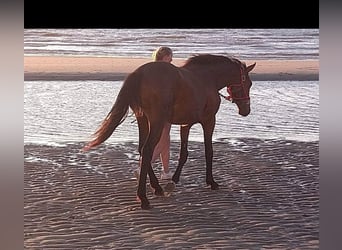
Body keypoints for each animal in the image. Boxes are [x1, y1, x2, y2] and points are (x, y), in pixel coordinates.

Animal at [82, 54, 254, 209]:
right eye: (249, 83)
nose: (246, 110)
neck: (207, 79)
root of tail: (139, 73)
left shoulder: (185, 124)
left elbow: (183, 154)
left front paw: (174, 180)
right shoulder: (209, 121)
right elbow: (208, 151)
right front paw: (211, 181)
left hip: (142, 119)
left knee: (142, 148)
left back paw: (156, 187)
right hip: (156, 122)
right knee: (147, 149)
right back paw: (143, 197)